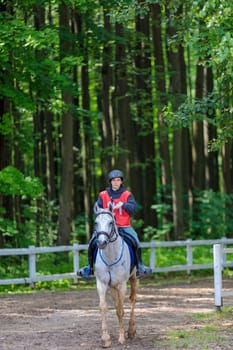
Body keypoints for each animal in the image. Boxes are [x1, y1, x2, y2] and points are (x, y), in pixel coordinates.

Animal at [93, 204, 138, 348]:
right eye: (96, 223)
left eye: (111, 222)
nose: (101, 243)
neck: (111, 257)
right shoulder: (101, 284)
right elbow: (104, 307)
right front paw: (106, 339)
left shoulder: (122, 285)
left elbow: (120, 310)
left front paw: (121, 338)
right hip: (112, 287)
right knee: (117, 303)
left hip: (134, 279)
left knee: (132, 299)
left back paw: (130, 331)